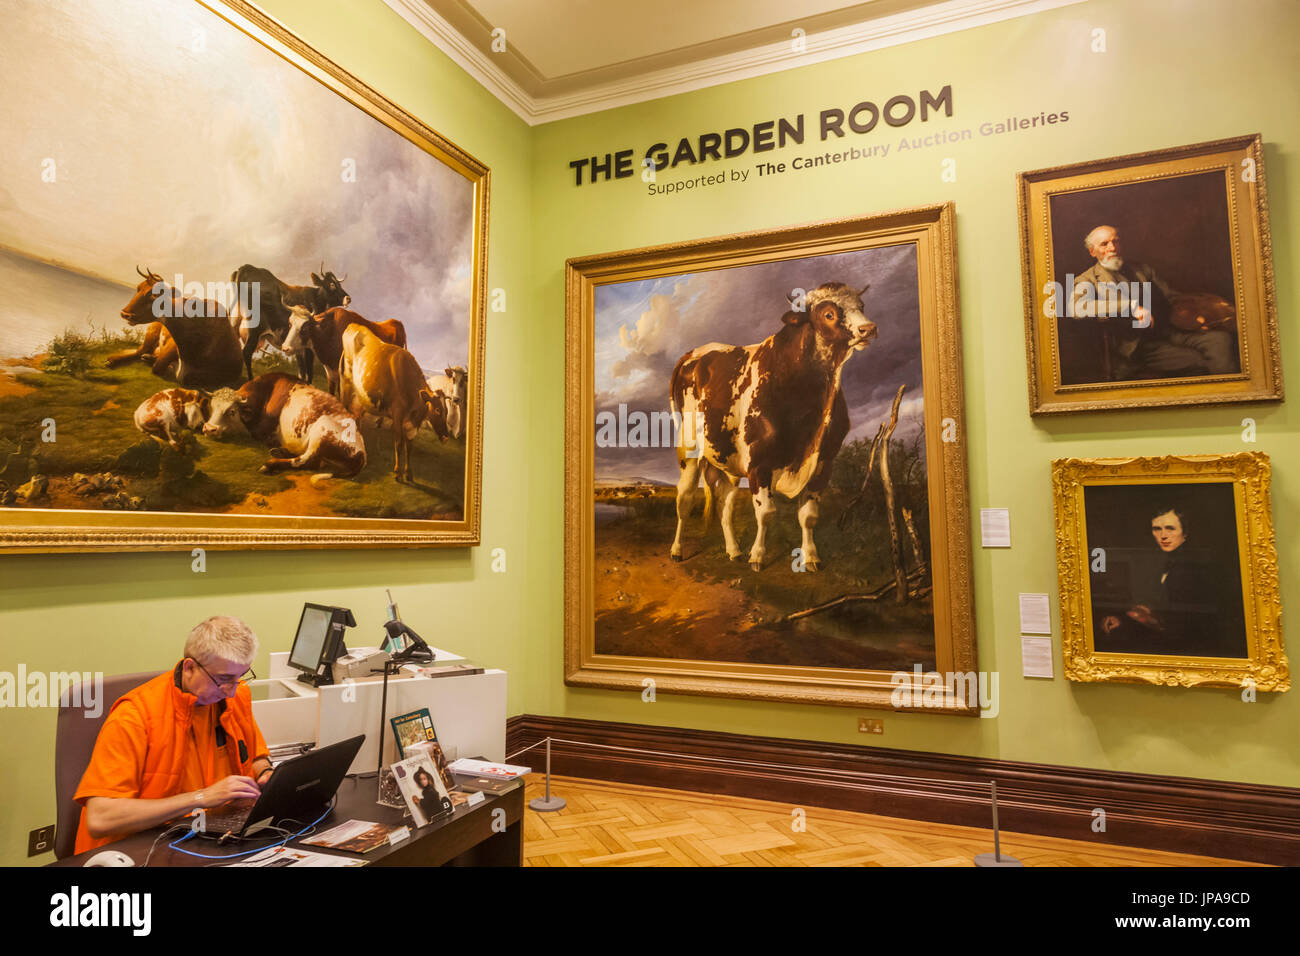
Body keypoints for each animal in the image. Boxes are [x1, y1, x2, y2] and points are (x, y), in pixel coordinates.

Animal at [202, 371, 366, 478]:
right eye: (212, 406)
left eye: (232, 411)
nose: (209, 429)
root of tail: (362, 452)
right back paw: (280, 451)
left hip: (320, 431)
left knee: (304, 461)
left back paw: (270, 464)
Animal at [670, 280, 873, 572]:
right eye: (829, 314)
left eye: (861, 306)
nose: (868, 328)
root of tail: (695, 352)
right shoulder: (759, 463)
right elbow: (765, 512)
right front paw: (758, 556)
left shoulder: (824, 463)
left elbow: (808, 516)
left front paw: (811, 557)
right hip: (688, 450)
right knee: (684, 499)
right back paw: (676, 550)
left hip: (727, 460)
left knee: (725, 504)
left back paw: (733, 550)